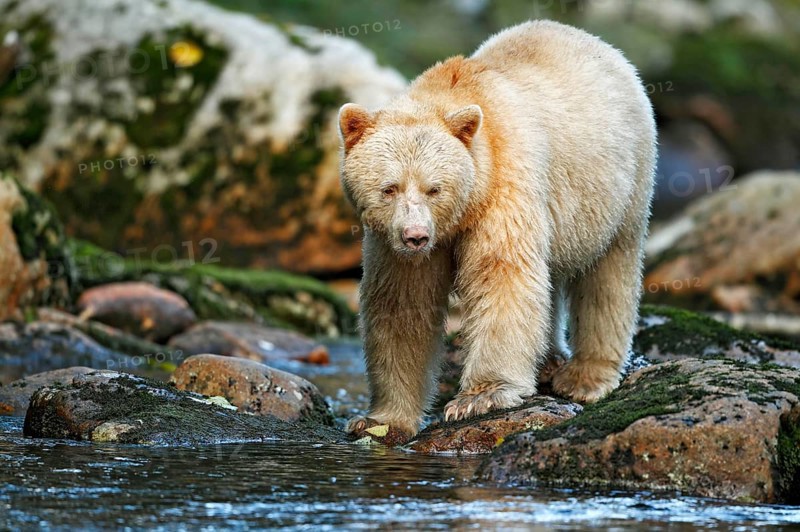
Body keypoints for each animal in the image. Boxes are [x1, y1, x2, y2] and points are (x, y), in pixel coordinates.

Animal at [337, 20, 656, 437]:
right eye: (389, 188)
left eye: (434, 188)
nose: (415, 236)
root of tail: (598, 43)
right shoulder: (394, 244)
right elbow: (402, 303)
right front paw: (381, 420)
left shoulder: (504, 184)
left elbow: (502, 275)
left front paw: (480, 397)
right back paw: (548, 360)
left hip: (620, 184)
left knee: (608, 274)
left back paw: (586, 377)